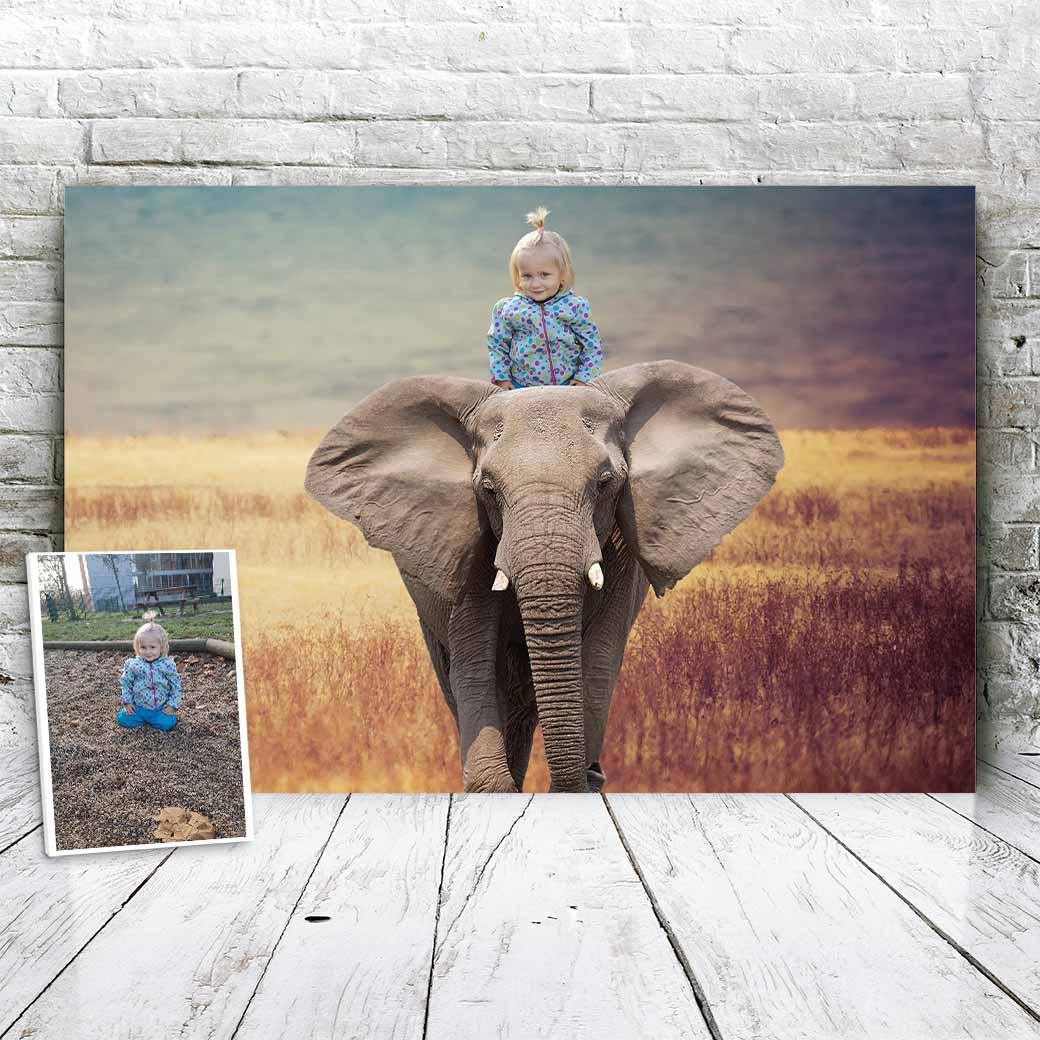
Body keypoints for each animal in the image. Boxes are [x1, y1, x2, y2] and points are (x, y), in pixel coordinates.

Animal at [305, 360, 784, 793]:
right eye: (488, 489)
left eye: (605, 484)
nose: (593, 775)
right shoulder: (474, 541)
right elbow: (474, 658)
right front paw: (492, 787)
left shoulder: (620, 548)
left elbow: (599, 658)